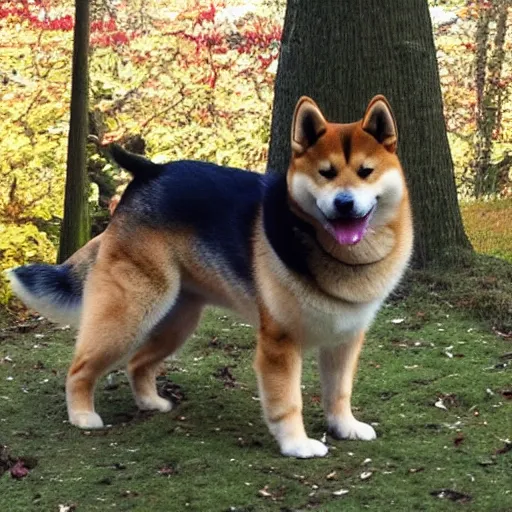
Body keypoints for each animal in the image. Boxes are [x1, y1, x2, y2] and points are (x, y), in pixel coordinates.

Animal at [8, 96, 414, 460]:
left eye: (365, 171)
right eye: (325, 173)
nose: (344, 203)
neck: (331, 250)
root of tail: (151, 170)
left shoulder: (344, 341)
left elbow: (339, 392)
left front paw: (344, 426)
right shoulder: (279, 345)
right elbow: (288, 402)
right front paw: (296, 445)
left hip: (176, 320)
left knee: (137, 363)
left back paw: (150, 402)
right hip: (130, 313)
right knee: (80, 368)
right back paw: (81, 415)